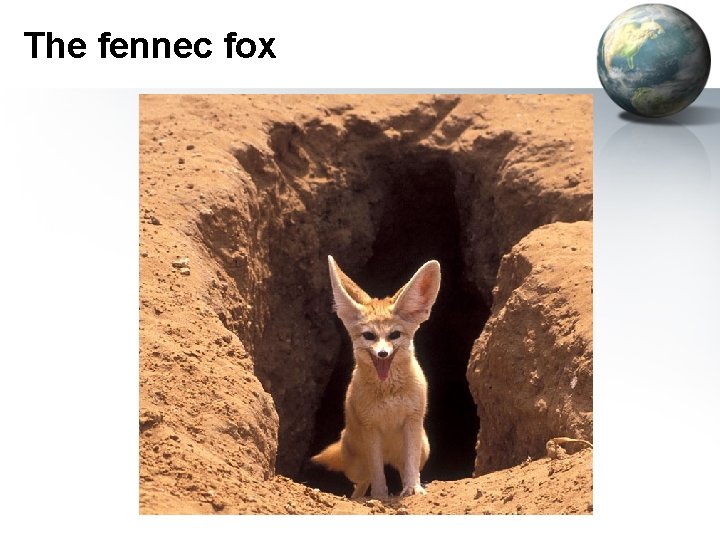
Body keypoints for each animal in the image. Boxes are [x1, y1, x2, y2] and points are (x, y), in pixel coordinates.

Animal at [311, 255, 441, 499]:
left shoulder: (412, 421)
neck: (388, 393)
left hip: (423, 449)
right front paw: (380, 496)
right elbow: (378, 472)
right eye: (369, 336)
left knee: (402, 468)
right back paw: (359, 496)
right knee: (363, 480)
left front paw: (413, 488)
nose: (382, 354)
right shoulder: (371, 428)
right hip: (357, 467)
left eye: (394, 335)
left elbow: (410, 467)